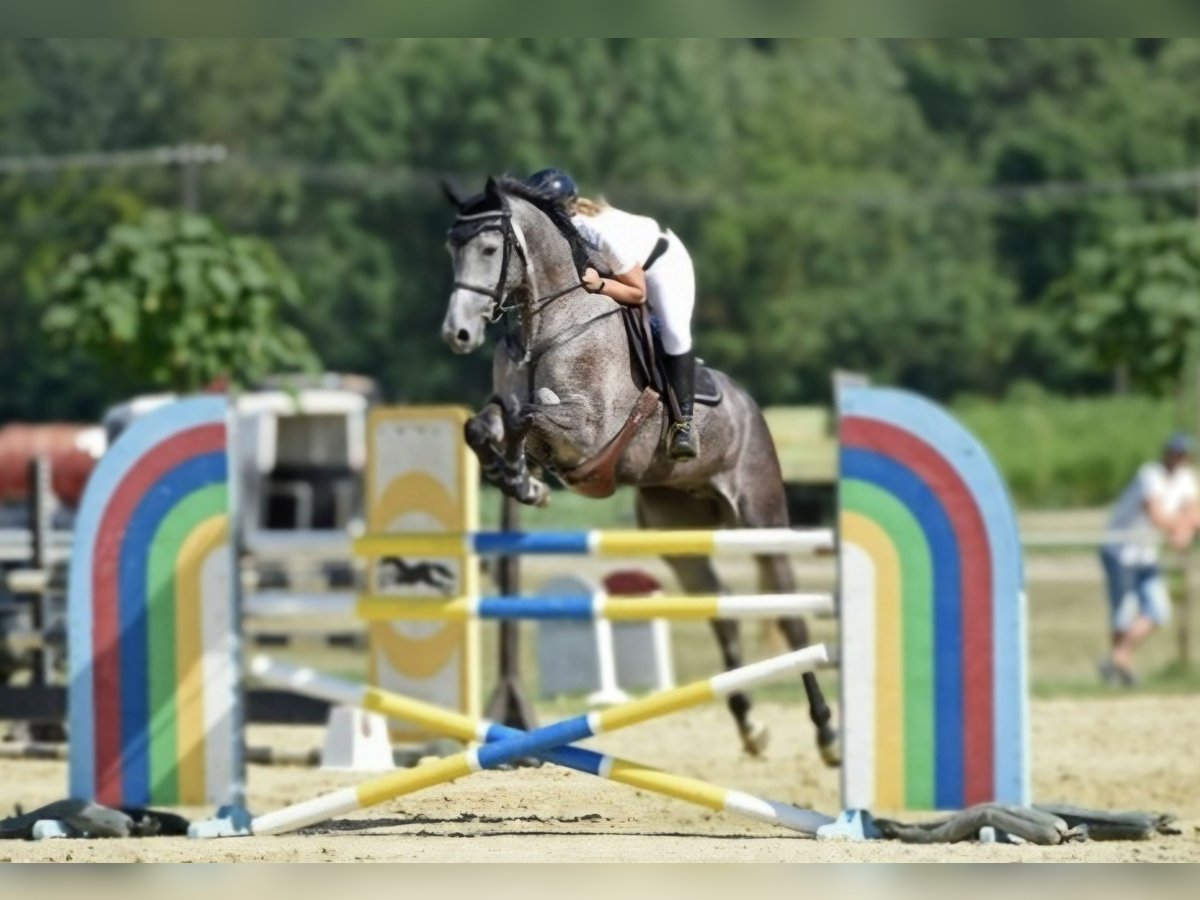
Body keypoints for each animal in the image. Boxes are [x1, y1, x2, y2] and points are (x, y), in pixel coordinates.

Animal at [439, 177, 835, 768]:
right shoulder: (510, 408)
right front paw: (520, 479)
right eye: (452, 247)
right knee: (721, 612)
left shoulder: (588, 430)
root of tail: (751, 407)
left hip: (762, 516)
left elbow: (527, 416)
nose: (457, 333)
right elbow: (485, 424)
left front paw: (522, 476)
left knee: (789, 616)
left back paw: (828, 735)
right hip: (679, 532)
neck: (548, 323)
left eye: (489, 248)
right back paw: (750, 727)